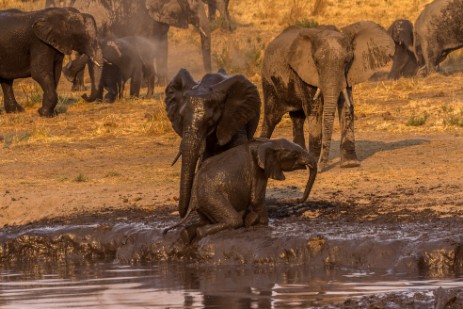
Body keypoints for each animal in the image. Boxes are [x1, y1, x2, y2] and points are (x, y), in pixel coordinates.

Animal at [164, 138, 320, 243]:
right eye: (295, 155)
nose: (298, 199)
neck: (267, 143)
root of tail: (194, 197)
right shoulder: (257, 171)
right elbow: (256, 198)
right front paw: (263, 224)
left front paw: (252, 220)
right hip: (212, 197)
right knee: (234, 220)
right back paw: (201, 232)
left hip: (205, 203)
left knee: (205, 221)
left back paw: (186, 235)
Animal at [260, 21, 396, 171]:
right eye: (316, 62)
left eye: (347, 61)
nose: (320, 168)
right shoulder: (306, 72)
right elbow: (315, 109)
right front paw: (314, 164)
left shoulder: (346, 75)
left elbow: (346, 106)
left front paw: (350, 164)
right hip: (269, 80)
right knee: (271, 118)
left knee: (298, 119)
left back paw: (299, 165)